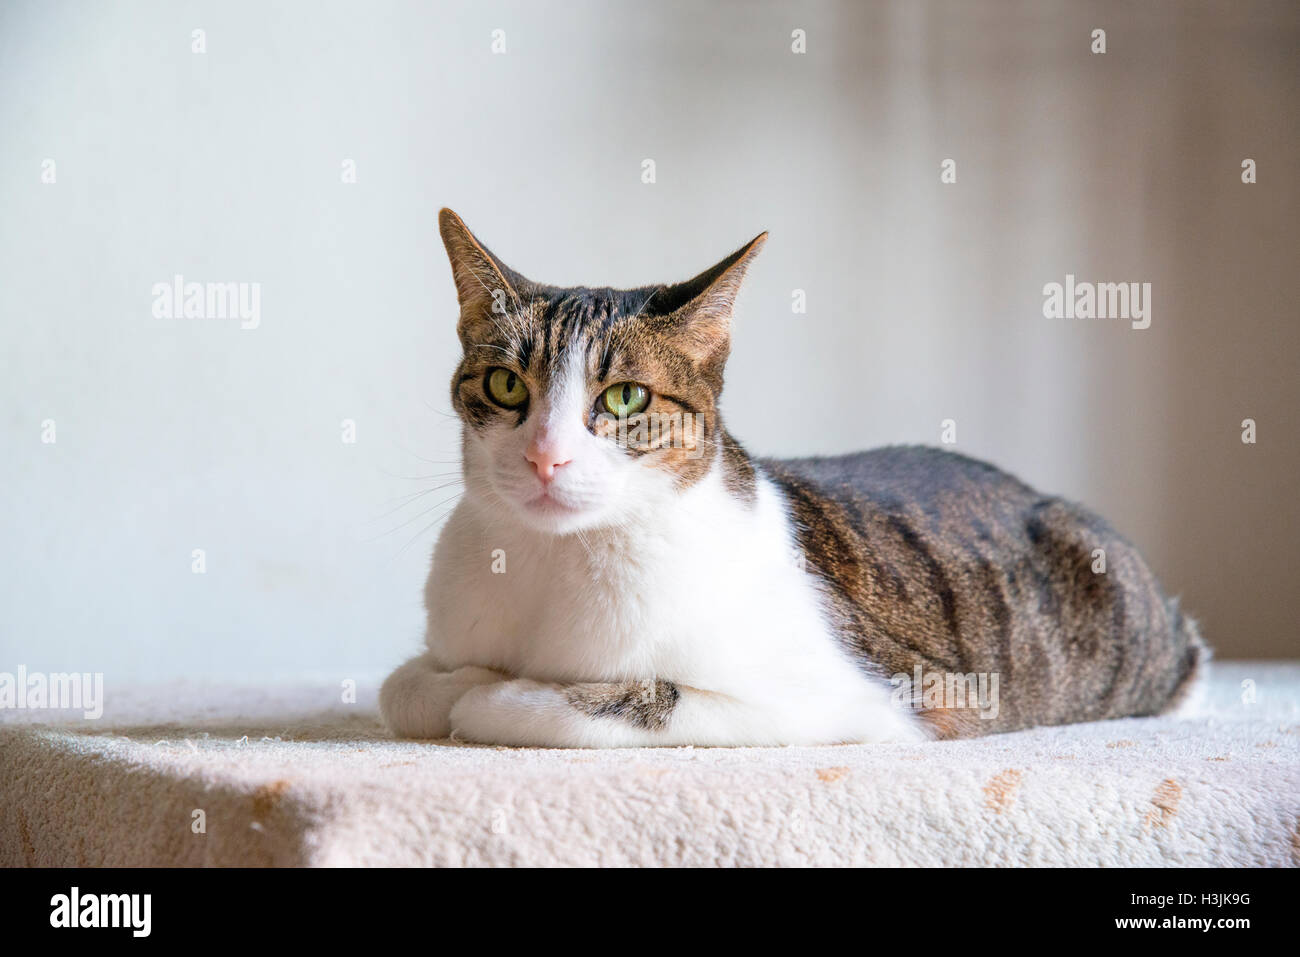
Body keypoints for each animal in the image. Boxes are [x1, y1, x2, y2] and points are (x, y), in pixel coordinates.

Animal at [377, 209, 1206, 748]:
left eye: (625, 399)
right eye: (506, 386)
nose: (546, 457)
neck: (552, 564)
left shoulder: (882, 698)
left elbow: (596, 702)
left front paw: (487, 692)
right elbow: (400, 684)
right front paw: (449, 682)